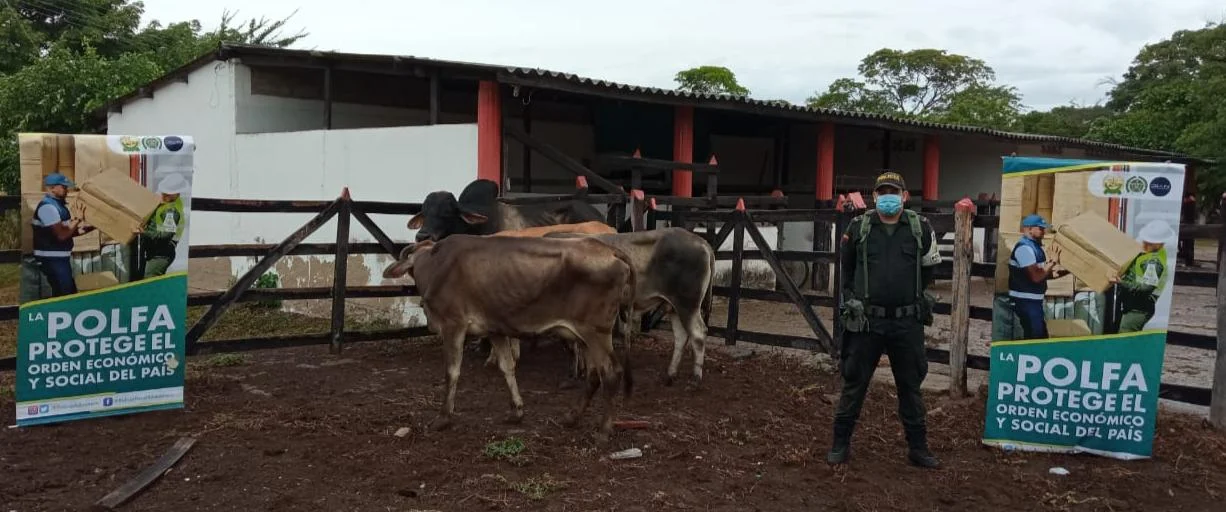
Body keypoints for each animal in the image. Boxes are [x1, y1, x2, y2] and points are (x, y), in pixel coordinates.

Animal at [382, 233, 637, 440]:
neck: (434, 265)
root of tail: (608, 249)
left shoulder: (453, 324)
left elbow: (452, 372)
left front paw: (443, 418)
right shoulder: (494, 330)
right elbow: (507, 367)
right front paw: (516, 411)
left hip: (596, 332)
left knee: (611, 372)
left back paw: (604, 430)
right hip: (584, 337)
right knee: (593, 375)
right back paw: (571, 417)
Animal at [546, 227, 715, 387]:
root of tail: (702, 242)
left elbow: (571, 346)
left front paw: (574, 374)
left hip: (687, 304)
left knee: (699, 334)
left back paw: (695, 379)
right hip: (674, 306)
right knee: (681, 336)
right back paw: (670, 376)